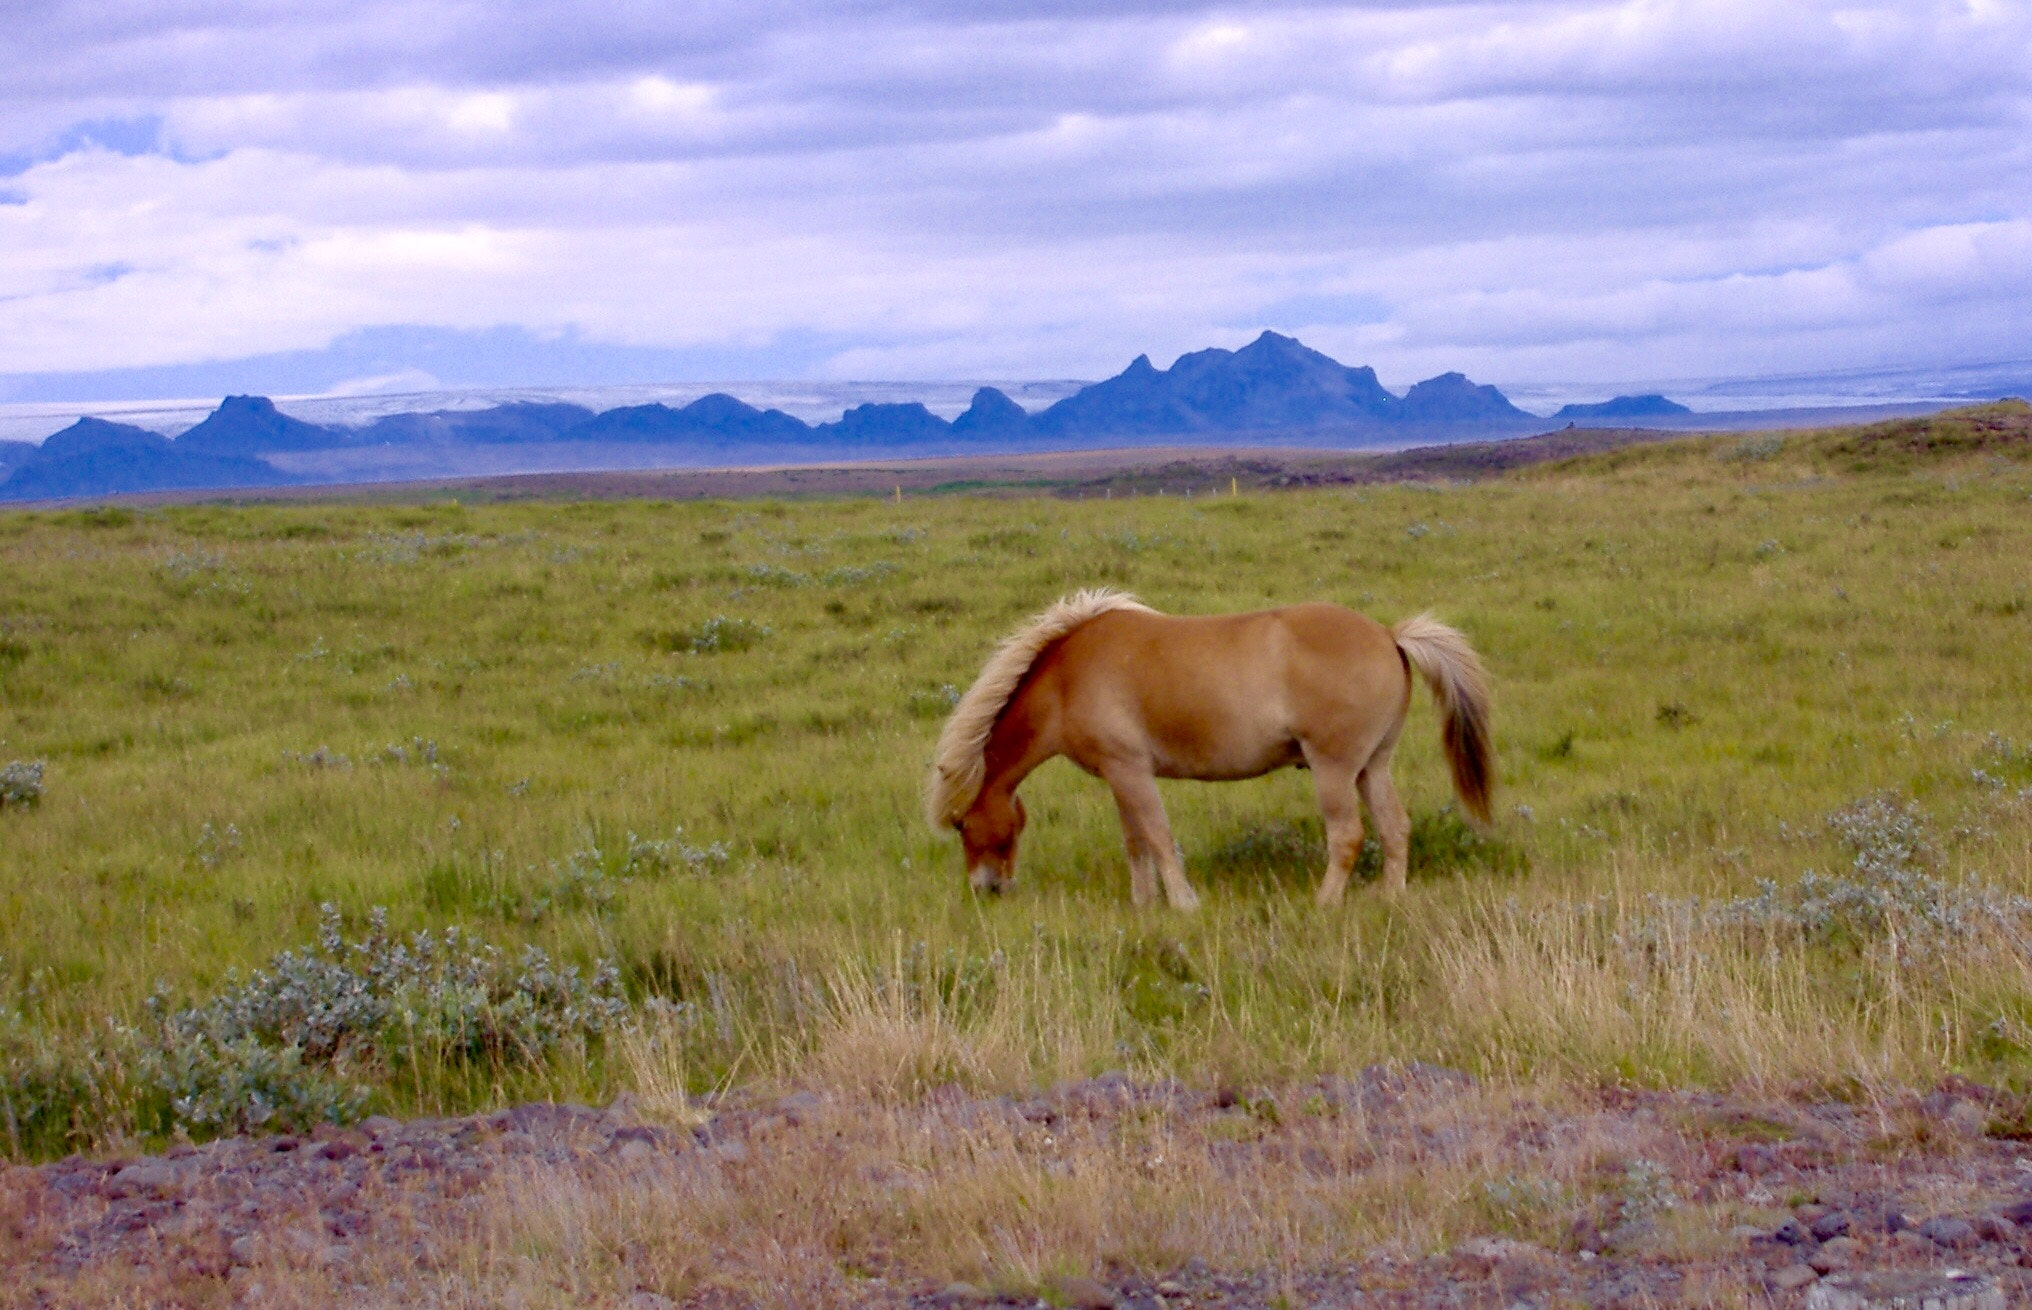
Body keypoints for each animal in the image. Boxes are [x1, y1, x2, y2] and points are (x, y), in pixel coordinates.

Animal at [926, 588, 1495, 905]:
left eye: (962, 825)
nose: (986, 889)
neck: (1068, 676)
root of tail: (1388, 634)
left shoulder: (1130, 770)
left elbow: (1157, 836)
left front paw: (1182, 902)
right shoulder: (1119, 776)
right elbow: (1135, 842)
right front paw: (1143, 903)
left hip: (1334, 769)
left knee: (1348, 836)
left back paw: (1325, 903)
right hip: (1371, 768)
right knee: (1395, 828)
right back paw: (1389, 897)